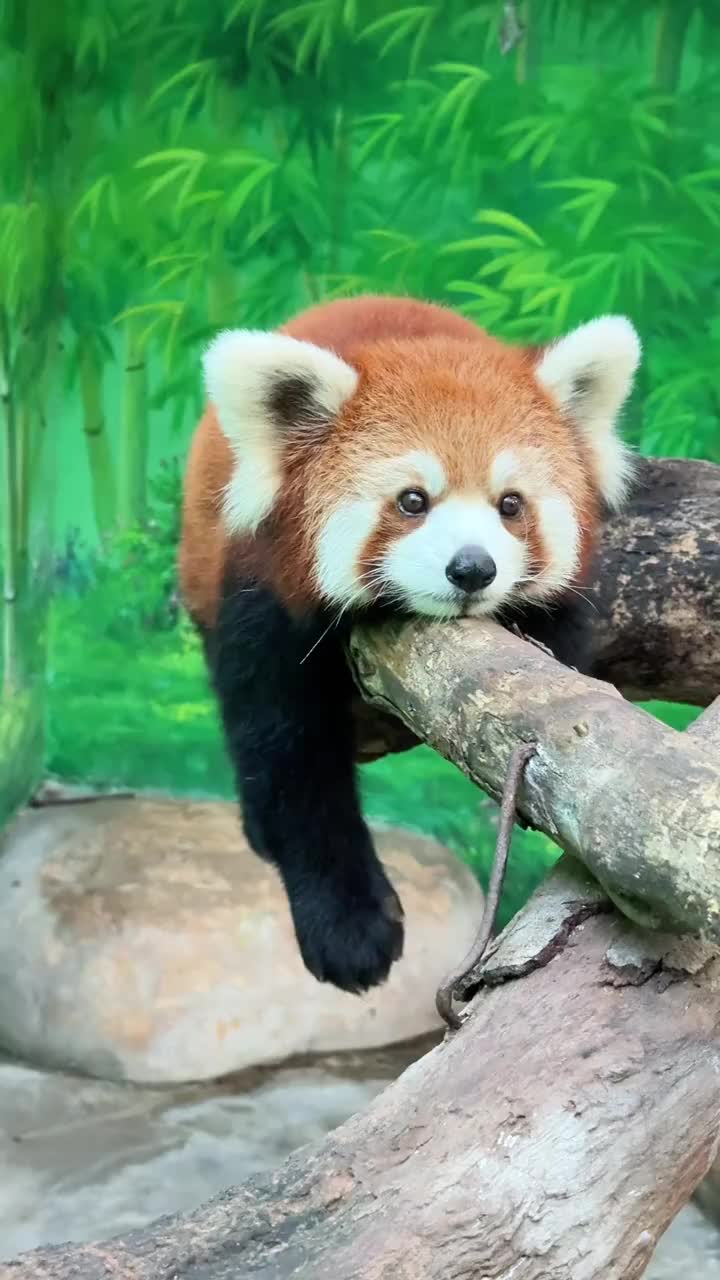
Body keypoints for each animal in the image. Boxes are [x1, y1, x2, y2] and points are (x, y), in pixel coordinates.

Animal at [179, 294, 641, 995]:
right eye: (413, 501)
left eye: (511, 504)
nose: (473, 569)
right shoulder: (263, 602)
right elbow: (288, 759)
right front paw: (349, 930)